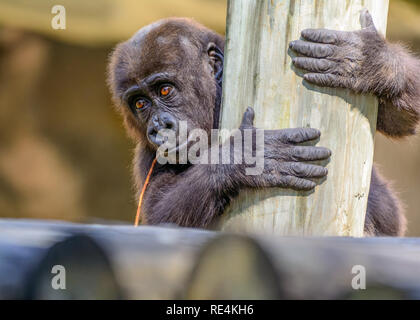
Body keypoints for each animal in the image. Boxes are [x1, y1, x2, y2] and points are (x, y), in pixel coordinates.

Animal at [109, 10, 420, 235]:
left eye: (164, 90)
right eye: (140, 104)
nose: (158, 127)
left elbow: (398, 119)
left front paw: (369, 60)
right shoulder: (147, 156)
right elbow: (160, 217)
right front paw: (246, 156)